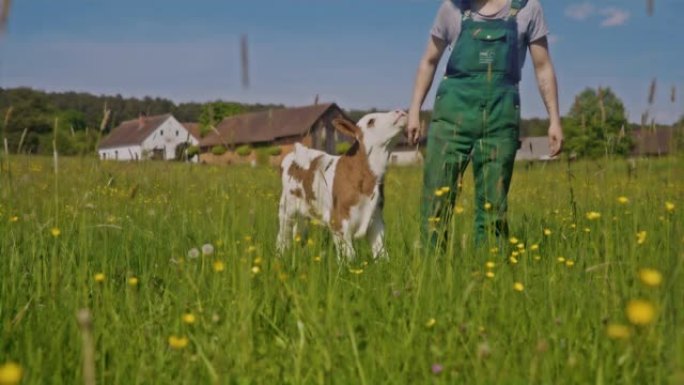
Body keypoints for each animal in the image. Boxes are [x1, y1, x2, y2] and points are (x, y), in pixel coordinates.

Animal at [276, 111, 406, 260]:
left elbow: (381, 252)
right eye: (371, 121)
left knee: (298, 233)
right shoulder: (338, 222)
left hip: (304, 213)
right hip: (286, 209)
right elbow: (349, 256)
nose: (401, 112)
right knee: (283, 236)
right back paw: (281, 255)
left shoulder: (376, 219)